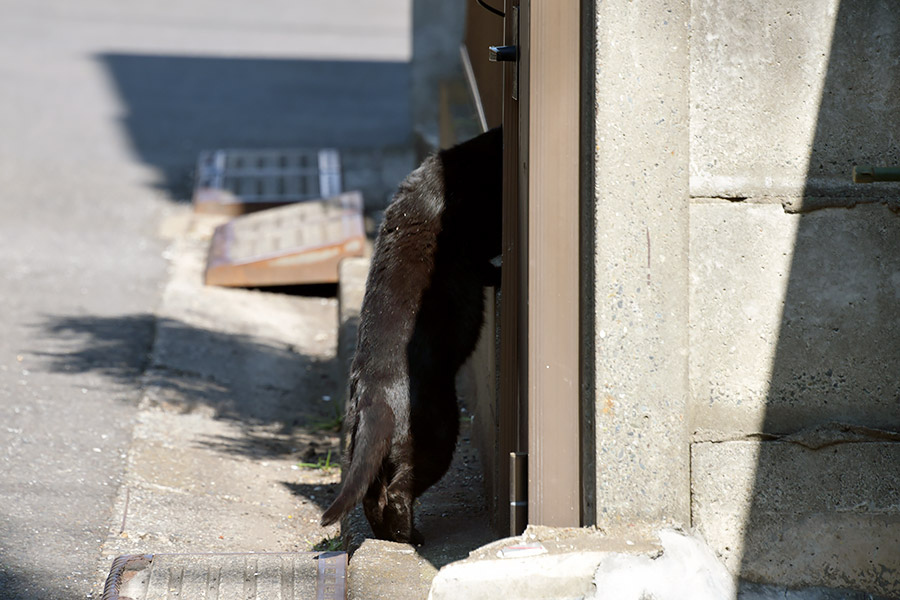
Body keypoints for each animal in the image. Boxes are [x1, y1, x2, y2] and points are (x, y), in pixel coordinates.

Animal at [320, 127, 502, 544]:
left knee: (371, 495)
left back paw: (390, 537)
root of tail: (373, 394)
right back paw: (409, 536)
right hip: (440, 432)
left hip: (364, 450)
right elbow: (488, 261)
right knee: (398, 491)